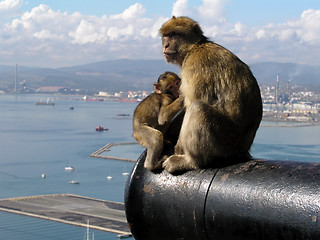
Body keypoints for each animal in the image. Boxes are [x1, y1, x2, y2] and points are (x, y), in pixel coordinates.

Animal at [160, 17, 262, 174]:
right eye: (165, 36)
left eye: (173, 35)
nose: (166, 45)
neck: (194, 48)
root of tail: (243, 150)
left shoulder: (194, 66)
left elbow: (192, 102)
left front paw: (178, 148)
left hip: (225, 142)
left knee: (198, 108)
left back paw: (191, 161)